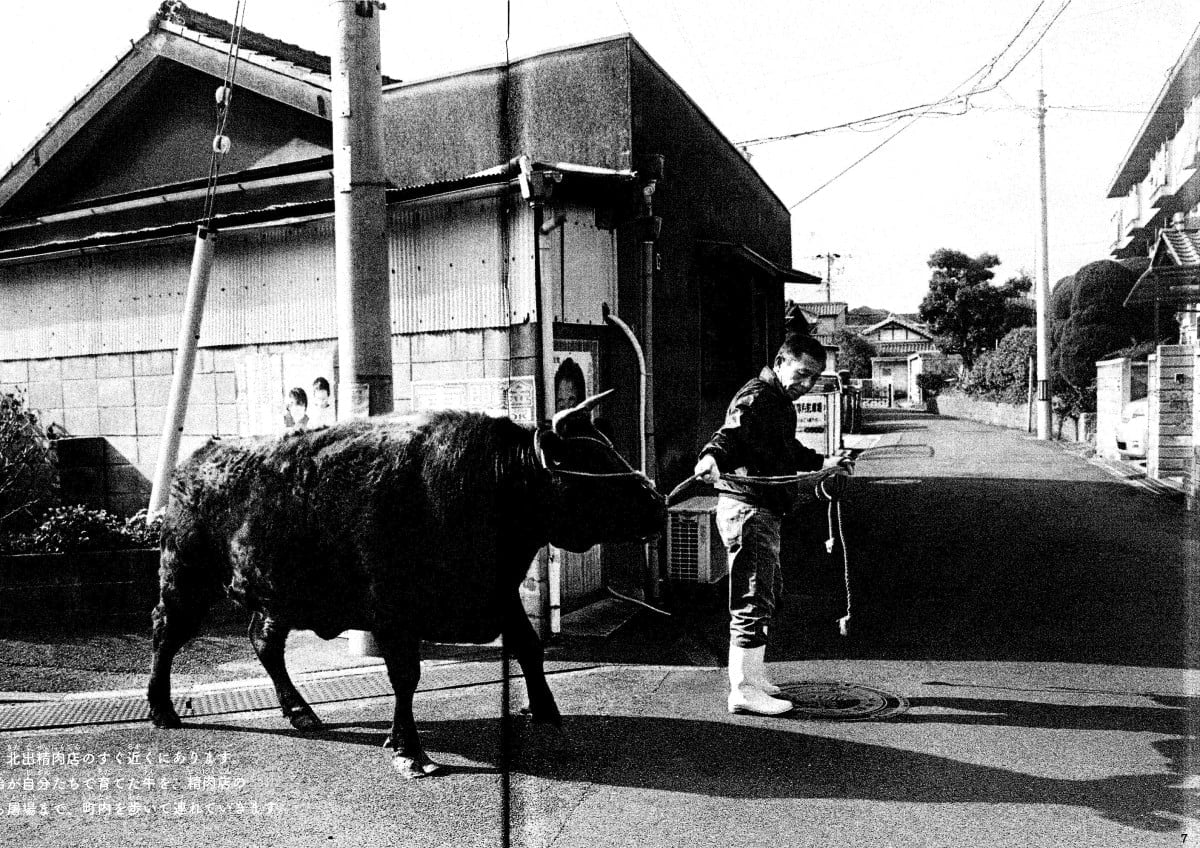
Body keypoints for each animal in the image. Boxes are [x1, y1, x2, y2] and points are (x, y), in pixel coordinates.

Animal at [148, 391, 667, 777]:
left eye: (607, 448)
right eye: (590, 458)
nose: (657, 503)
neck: (494, 477)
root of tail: (199, 458)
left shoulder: (499, 595)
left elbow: (529, 647)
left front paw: (545, 711)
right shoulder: (395, 614)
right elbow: (406, 676)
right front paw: (410, 751)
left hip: (275, 599)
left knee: (264, 643)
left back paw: (302, 714)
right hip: (186, 582)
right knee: (166, 636)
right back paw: (163, 711)